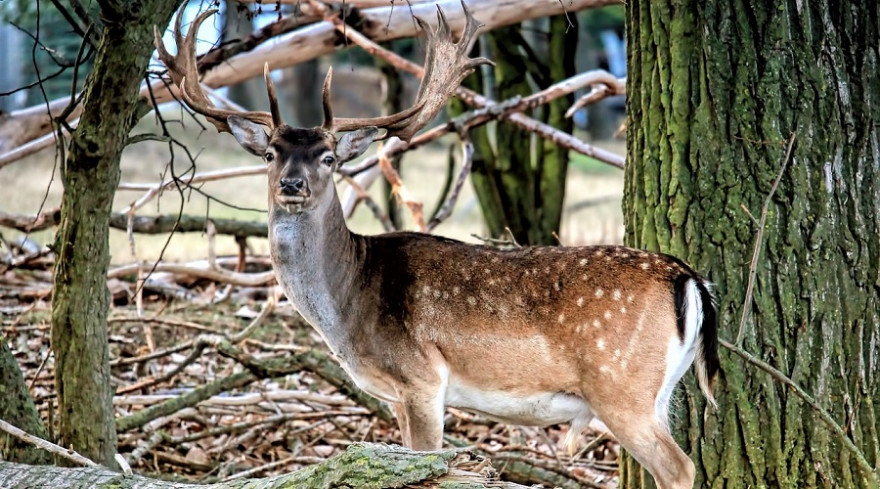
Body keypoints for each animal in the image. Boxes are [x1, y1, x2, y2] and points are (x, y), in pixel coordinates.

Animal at [156, 2, 720, 484]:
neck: (349, 304)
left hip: (619, 383)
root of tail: (687, 277)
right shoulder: (395, 395)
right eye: (271, 153)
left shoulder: (422, 378)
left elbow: (426, 463)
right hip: (659, 389)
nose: (292, 185)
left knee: (680, 467)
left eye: (329, 158)